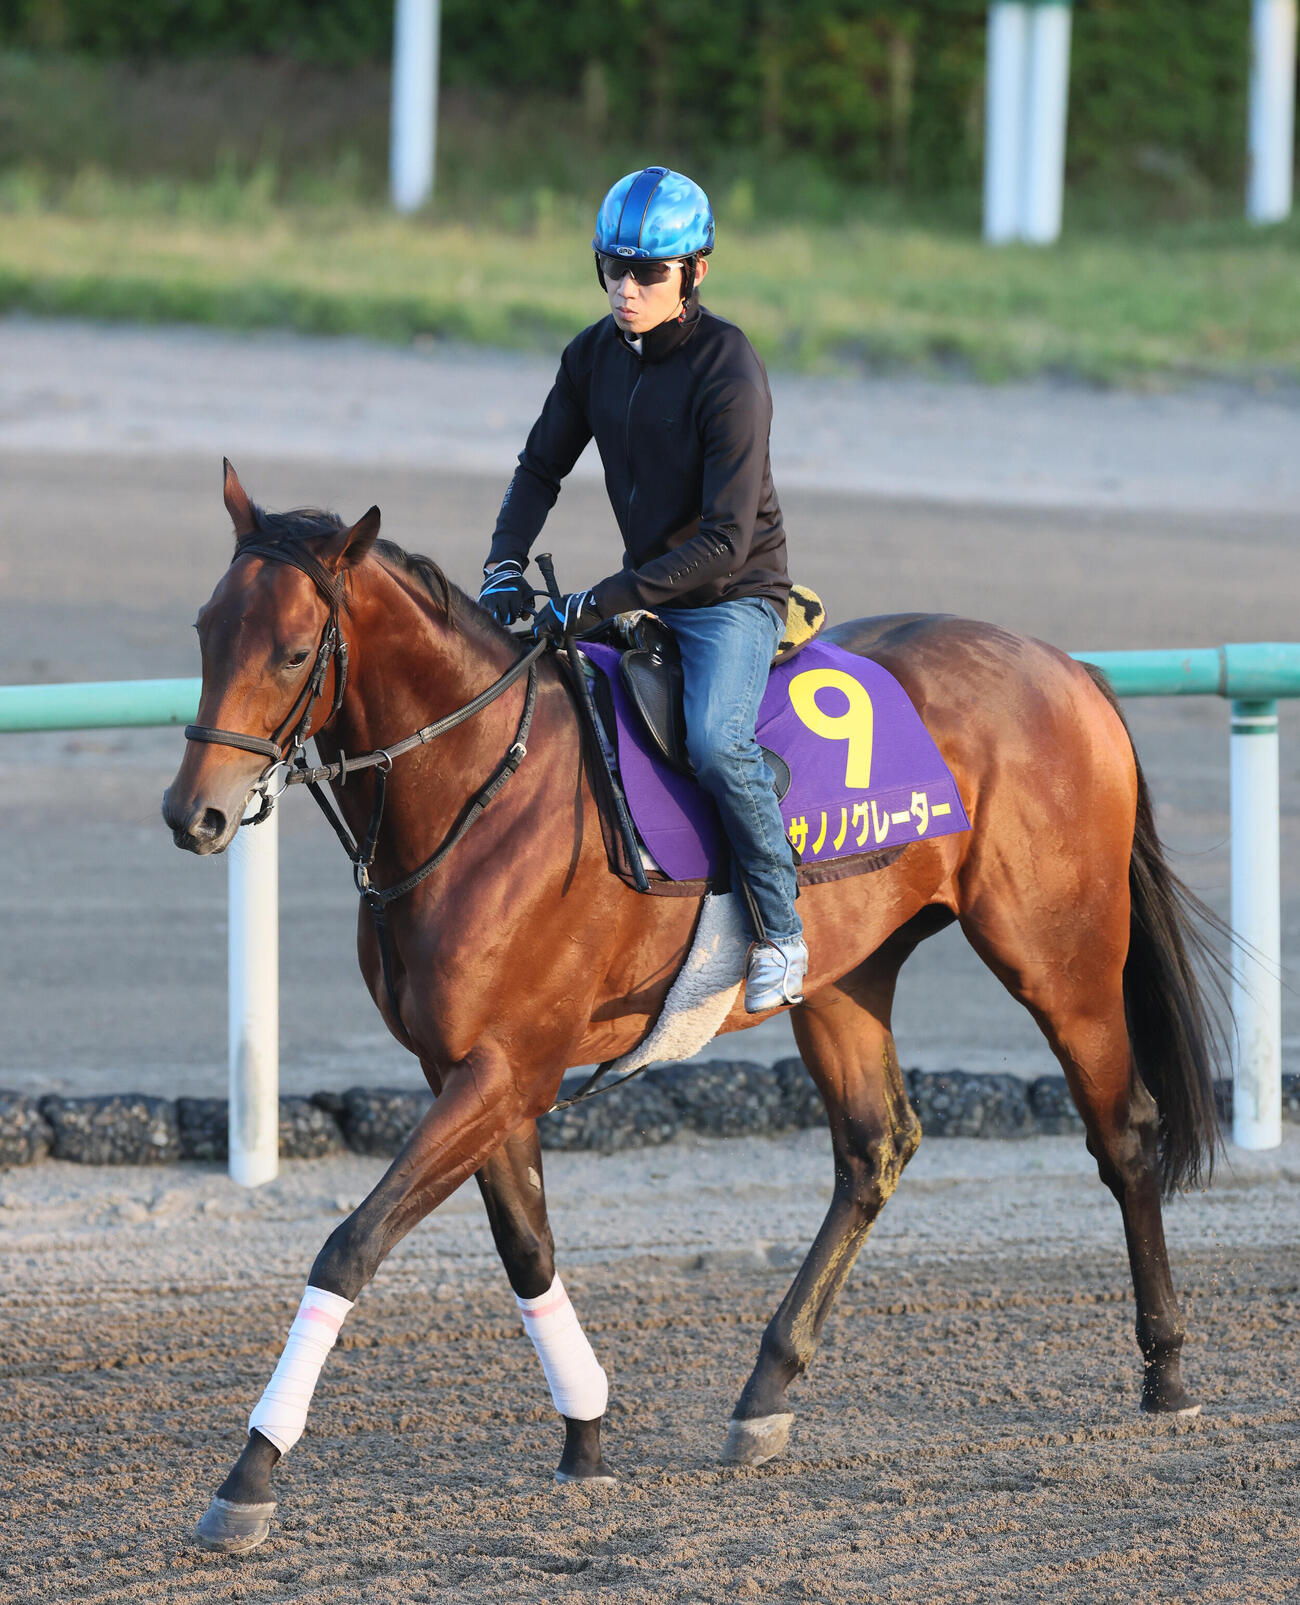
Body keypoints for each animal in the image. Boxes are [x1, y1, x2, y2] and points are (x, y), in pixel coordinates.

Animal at [162, 463, 1222, 1553]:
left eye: (294, 650)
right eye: (206, 629)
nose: (193, 813)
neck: (481, 785)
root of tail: (1069, 667)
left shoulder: (506, 1065)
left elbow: (351, 1244)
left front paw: (251, 1474)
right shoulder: (469, 1068)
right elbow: (527, 1247)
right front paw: (585, 1434)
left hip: (1059, 953)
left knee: (1123, 1131)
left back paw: (1167, 1369)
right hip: (843, 978)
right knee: (874, 1149)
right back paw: (765, 1392)